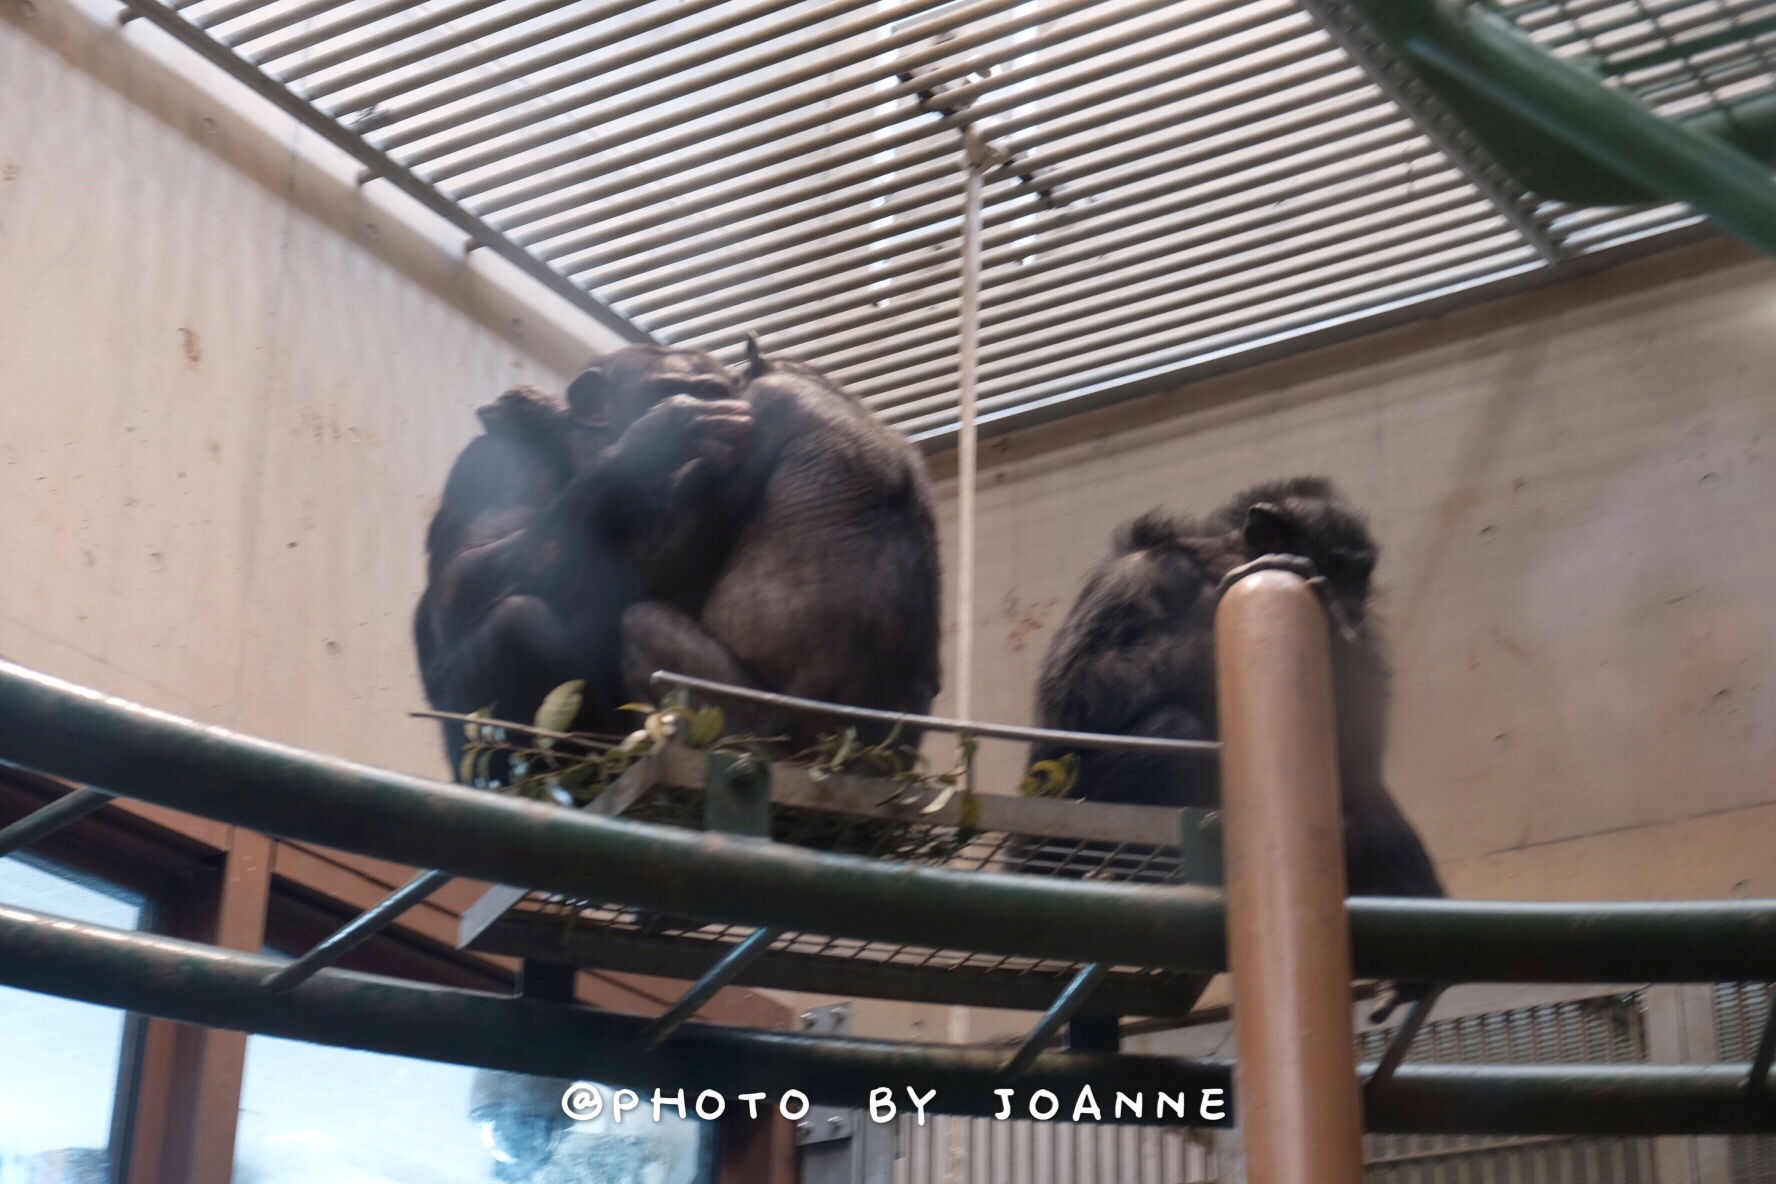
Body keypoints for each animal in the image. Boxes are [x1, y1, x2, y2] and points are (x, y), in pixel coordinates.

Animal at [413, 344, 749, 770]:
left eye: (715, 393)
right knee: (513, 623)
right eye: (667, 391)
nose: (709, 411)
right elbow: (458, 578)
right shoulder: (495, 460)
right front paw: (657, 441)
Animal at [1030, 475, 1442, 901]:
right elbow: (1074, 688)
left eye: (1361, 574)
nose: (1354, 603)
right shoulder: (1132, 577)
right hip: (1061, 798)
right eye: (1337, 565)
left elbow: (1360, 739)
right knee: (1174, 727)